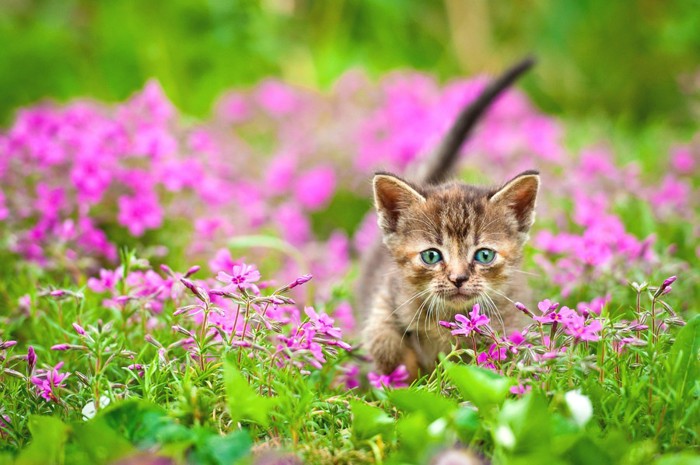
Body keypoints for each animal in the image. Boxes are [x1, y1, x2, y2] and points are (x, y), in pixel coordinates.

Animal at [360, 57, 536, 380]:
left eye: (483, 255)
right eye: (431, 256)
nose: (458, 278)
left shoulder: (509, 319)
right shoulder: (385, 295)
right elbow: (382, 340)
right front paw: (406, 376)